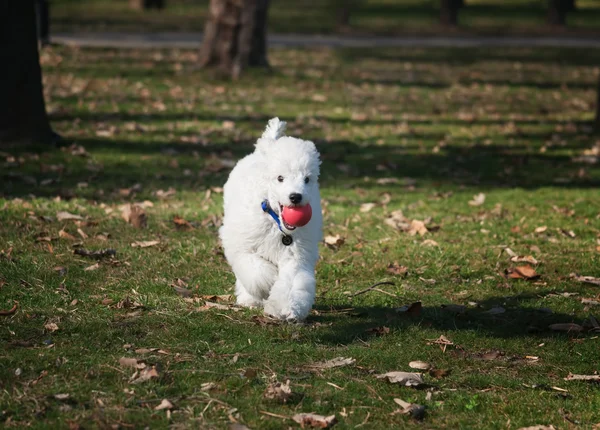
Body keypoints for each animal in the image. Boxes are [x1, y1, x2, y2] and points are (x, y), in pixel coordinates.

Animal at [220, 117, 324, 320]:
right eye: (280, 178)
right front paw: (269, 283)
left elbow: (292, 283)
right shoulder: (242, 245)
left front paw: (288, 308)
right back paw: (249, 299)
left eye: (307, 179)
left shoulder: (295, 255)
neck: (275, 220)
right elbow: (256, 272)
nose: (296, 197)